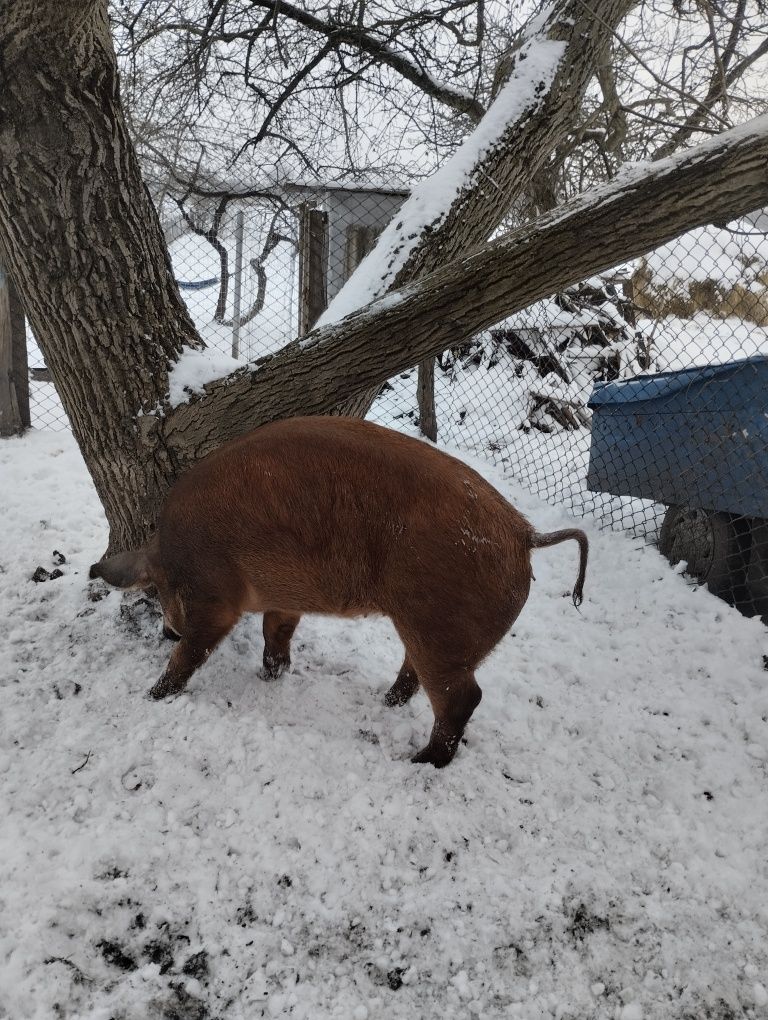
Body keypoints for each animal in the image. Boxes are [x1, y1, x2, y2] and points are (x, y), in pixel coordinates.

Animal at [92, 414, 591, 767]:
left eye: (158, 592)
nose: (166, 631)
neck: (172, 553)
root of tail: (524, 534)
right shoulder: (284, 599)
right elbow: (277, 633)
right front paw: (273, 675)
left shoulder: (213, 598)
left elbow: (193, 652)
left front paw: (152, 696)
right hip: (432, 629)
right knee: (417, 673)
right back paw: (384, 703)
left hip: (441, 626)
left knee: (463, 698)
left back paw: (418, 761)